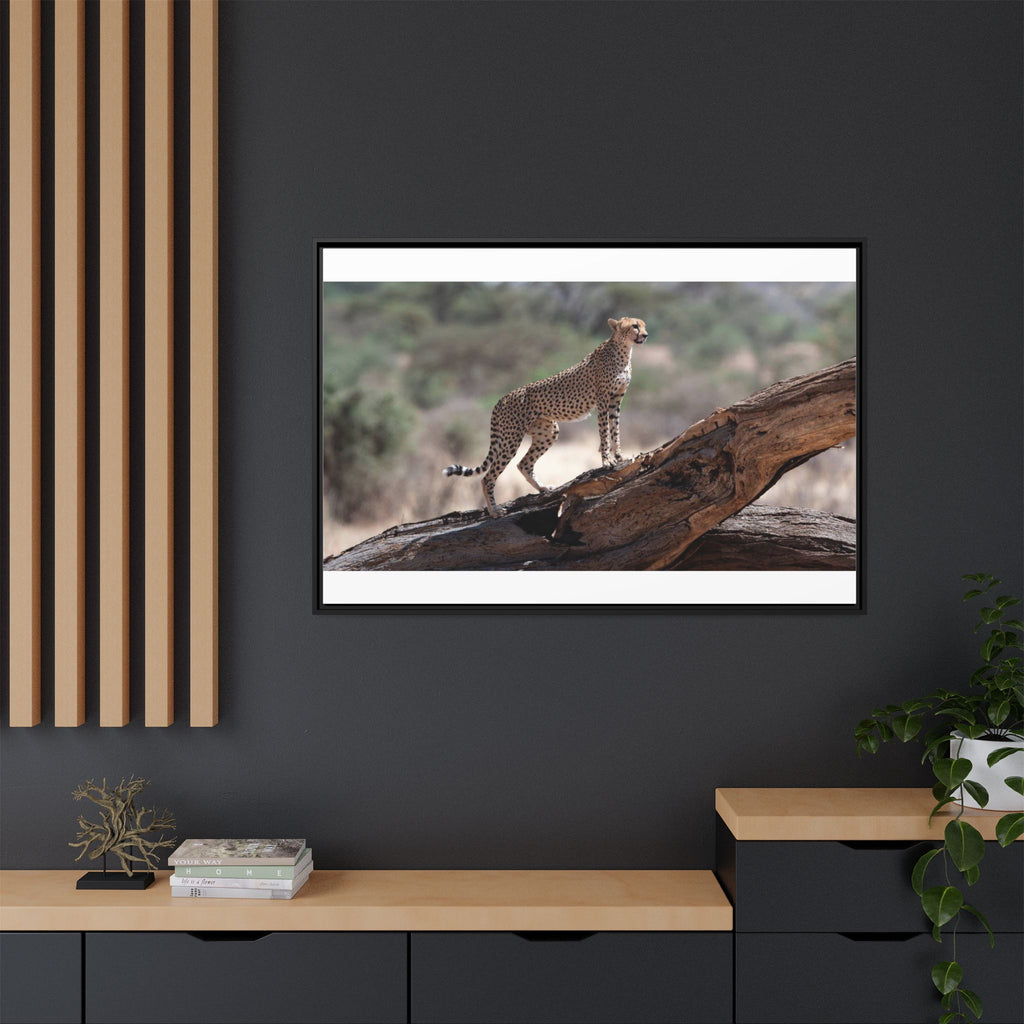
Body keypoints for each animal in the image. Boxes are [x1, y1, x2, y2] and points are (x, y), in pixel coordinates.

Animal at [443, 316, 648, 517]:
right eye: (634, 326)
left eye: (643, 325)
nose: (645, 335)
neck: (623, 350)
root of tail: (502, 399)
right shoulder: (603, 400)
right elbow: (604, 432)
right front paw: (607, 461)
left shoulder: (615, 401)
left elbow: (615, 430)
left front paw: (619, 456)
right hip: (511, 438)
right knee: (488, 477)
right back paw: (494, 511)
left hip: (548, 431)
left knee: (523, 464)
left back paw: (543, 489)